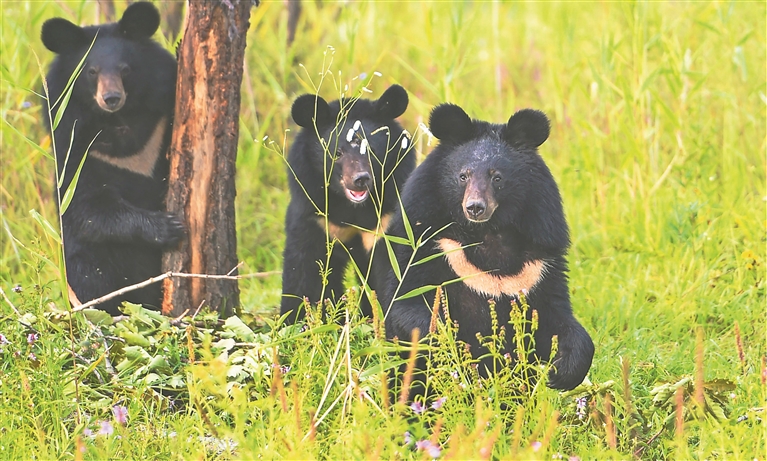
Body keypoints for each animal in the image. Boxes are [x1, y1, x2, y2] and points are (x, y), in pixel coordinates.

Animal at [42, 2, 184, 312]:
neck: (119, 121)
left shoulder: (159, 124)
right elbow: (89, 208)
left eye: (125, 70)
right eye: (91, 72)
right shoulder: (76, 148)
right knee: (91, 277)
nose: (111, 98)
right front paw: (169, 226)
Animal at [280, 84, 414, 322]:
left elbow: (392, 268)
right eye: (337, 153)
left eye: (371, 150)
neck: (351, 208)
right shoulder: (314, 215)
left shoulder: (386, 218)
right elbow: (303, 268)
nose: (360, 179)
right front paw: (295, 322)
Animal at [382, 103, 592, 388]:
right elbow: (407, 302)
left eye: (497, 178)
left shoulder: (540, 263)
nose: (475, 207)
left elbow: (555, 317)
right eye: (463, 176)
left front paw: (561, 372)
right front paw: (448, 342)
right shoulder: (425, 241)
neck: (487, 233)